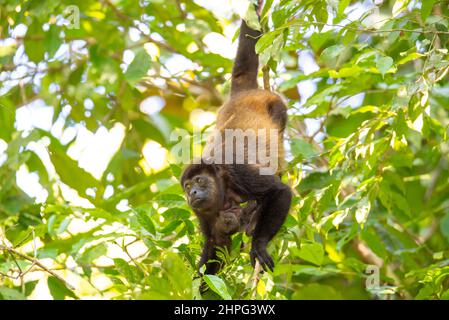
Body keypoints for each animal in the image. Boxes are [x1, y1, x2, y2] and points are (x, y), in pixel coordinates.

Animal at [180, 5, 292, 276]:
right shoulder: (202, 214)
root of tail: (239, 94)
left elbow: (279, 191)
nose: (193, 192)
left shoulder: (237, 172)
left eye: (199, 181)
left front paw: (259, 245)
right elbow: (215, 245)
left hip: (275, 104)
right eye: (187, 187)